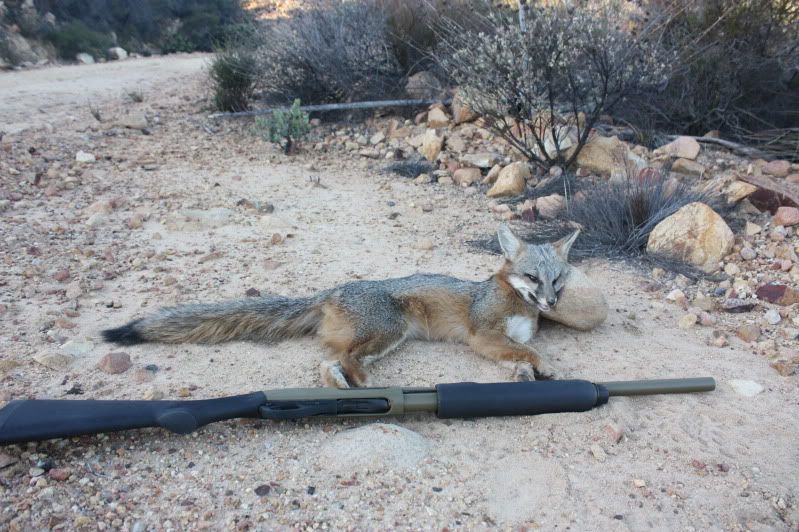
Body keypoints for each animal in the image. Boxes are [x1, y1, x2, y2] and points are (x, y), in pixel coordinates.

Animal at [104, 223, 608, 386]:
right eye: (531, 278)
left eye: (557, 279)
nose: (550, 299)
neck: (517, 304)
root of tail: (331, 290)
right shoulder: (482, 336)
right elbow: (530, 350)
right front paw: (541, 366)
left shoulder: (500, 343)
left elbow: (521, 355)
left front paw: (528, 373)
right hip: (388, 332)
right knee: (343, 359)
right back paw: (361, 384)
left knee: (327, 361)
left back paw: (342, 387)